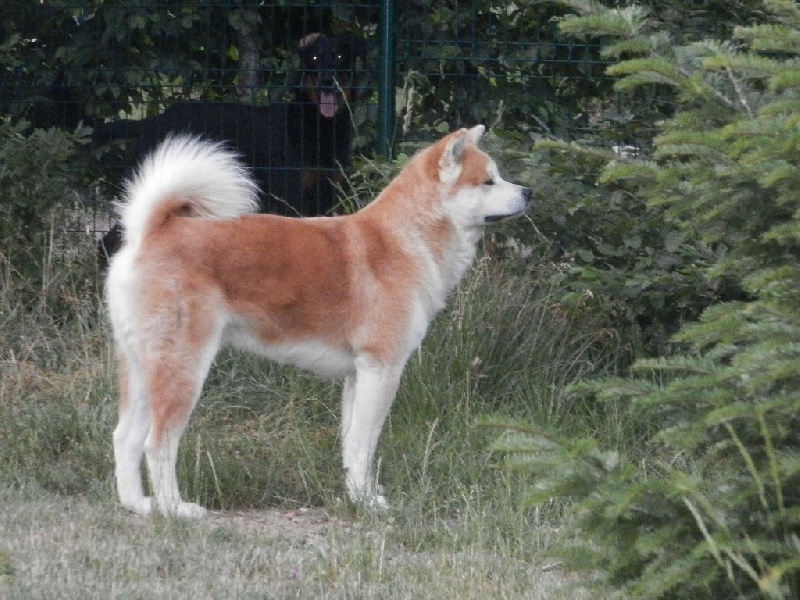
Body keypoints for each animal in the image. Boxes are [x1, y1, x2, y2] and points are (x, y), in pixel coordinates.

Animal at [95, 34, 368, 264]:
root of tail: (154, 121)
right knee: (106, 243)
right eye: (314, 58)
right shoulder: (291, 197)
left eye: (340, 57)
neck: (318, 125)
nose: (327, 82)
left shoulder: (327, 195)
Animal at [106, 126, 532, 516]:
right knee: (157, 444)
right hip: (183, 369)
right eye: (488, 180)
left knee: (124, 438)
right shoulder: (382, 369)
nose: (528, 191)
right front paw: (369, 506)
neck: (405, 240)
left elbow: (352, 445)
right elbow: (364, 444)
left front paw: (358, 496)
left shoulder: (358, 376)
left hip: (141, 367)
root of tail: (152, 231)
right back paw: (175, 509)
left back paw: (138, 505)